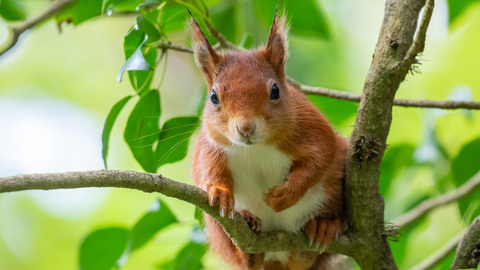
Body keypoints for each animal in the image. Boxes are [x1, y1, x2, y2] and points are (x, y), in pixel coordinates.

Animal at [189, 11, 346, 270]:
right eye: (213, 97)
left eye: (275, 90)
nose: (246, 128)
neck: (256, 149)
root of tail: (277, 257)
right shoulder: (210, 145)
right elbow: (208, 169)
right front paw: (218, 190)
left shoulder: (312, 129)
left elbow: (319, 159)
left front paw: (282, 197)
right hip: (218, 229)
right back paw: (248, 239)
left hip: (334, 191)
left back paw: (322, 228)